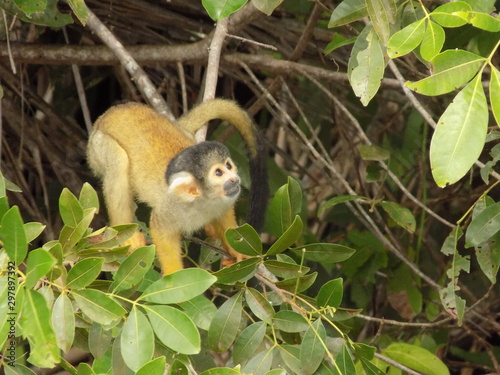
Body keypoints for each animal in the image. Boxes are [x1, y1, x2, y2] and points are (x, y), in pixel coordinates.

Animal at [88, 99, 268, 276]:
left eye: (229, 166)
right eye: (218, 173)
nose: (234, 179)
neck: (203, 200)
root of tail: (112, 112)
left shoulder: (224, 200)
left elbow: (225, 215)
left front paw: (236, 249)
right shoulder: (170, 208)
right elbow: (160, 229)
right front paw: (173, 275)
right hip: (98, 146)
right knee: (118, 161)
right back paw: (125, 233)